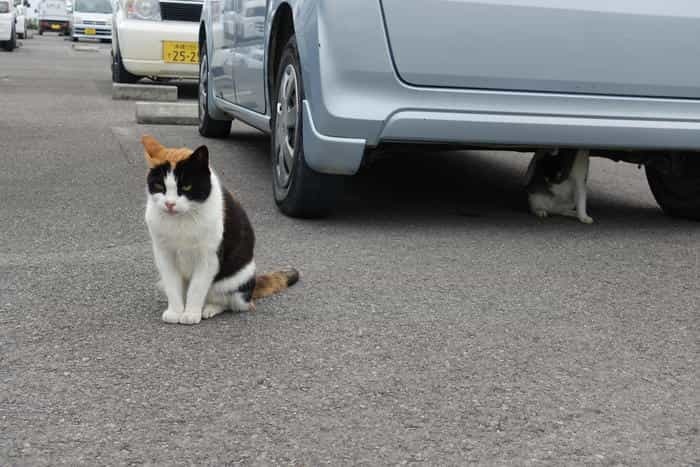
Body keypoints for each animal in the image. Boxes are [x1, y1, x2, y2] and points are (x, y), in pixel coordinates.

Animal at [142, 135, 298, 326]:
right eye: (159, 186)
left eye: (186, 187)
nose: (169, 204)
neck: (181, 220)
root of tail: (252, 288)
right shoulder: (164, 254)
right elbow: (172, 284)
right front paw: (175, 311)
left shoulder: (208, 257)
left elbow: (197, 287)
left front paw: (190, 313)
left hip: (236, 281)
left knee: (229, 302)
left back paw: (208, 309)